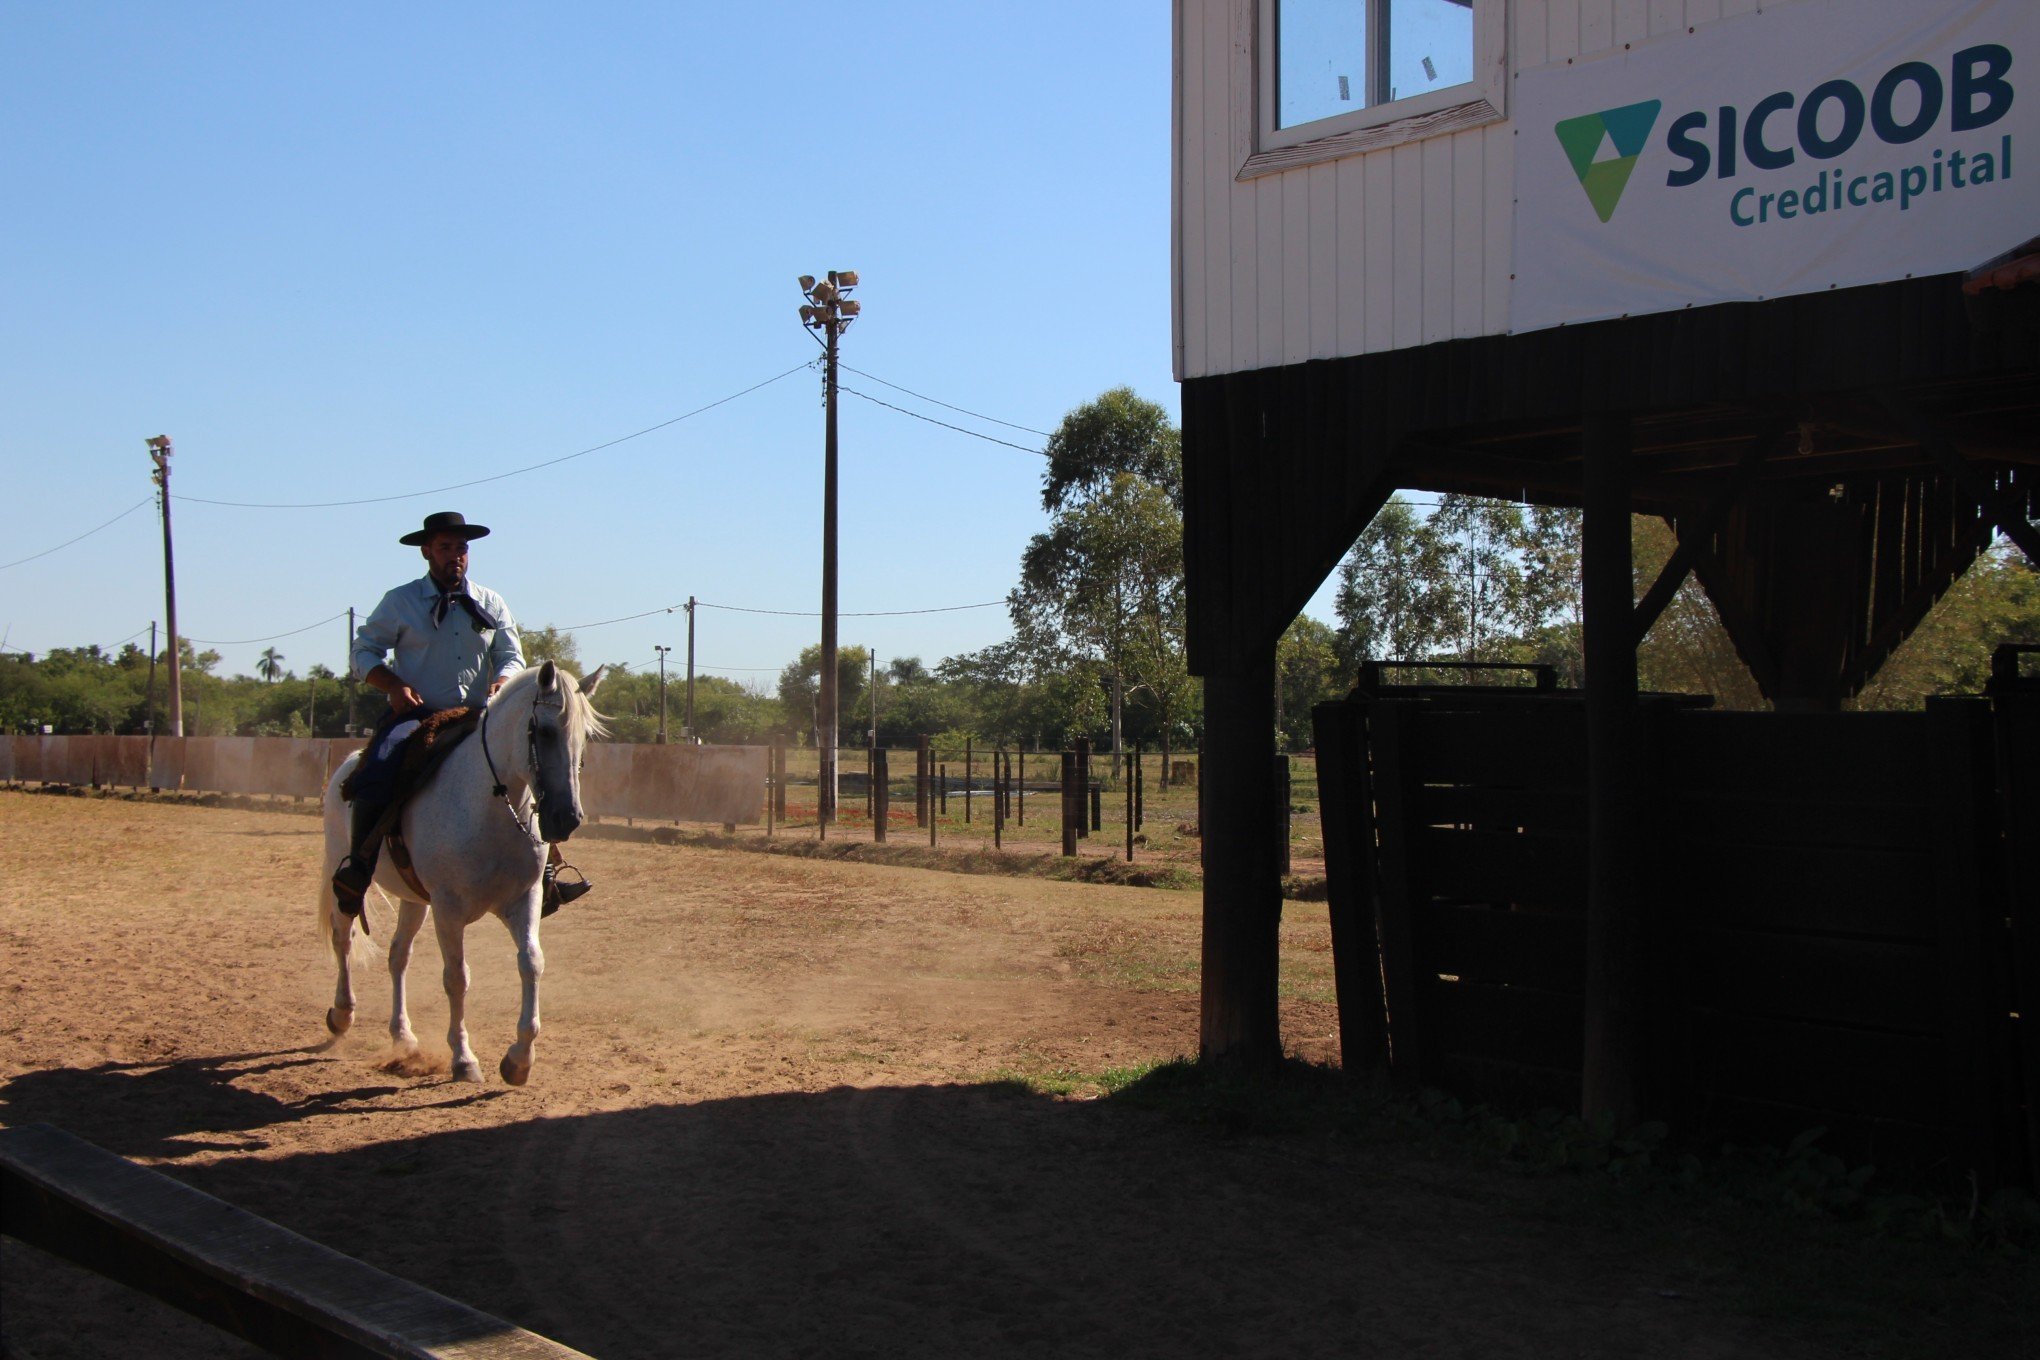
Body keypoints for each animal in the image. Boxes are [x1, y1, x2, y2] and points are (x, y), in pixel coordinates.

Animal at [316, 660, 603, 1084]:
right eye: (546, 731)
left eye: (583, 737)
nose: (566, 818)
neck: (489, 806)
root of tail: (348, 766)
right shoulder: (448, 909)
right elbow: (457, 977)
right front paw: (464, 1058)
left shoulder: (525, 899)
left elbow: (531, 962)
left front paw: (519, 1059)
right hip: (350, 882)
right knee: (344, 937)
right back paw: (342, 1013)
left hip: (415, 900)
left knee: (398, 956)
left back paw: (403, 1035)